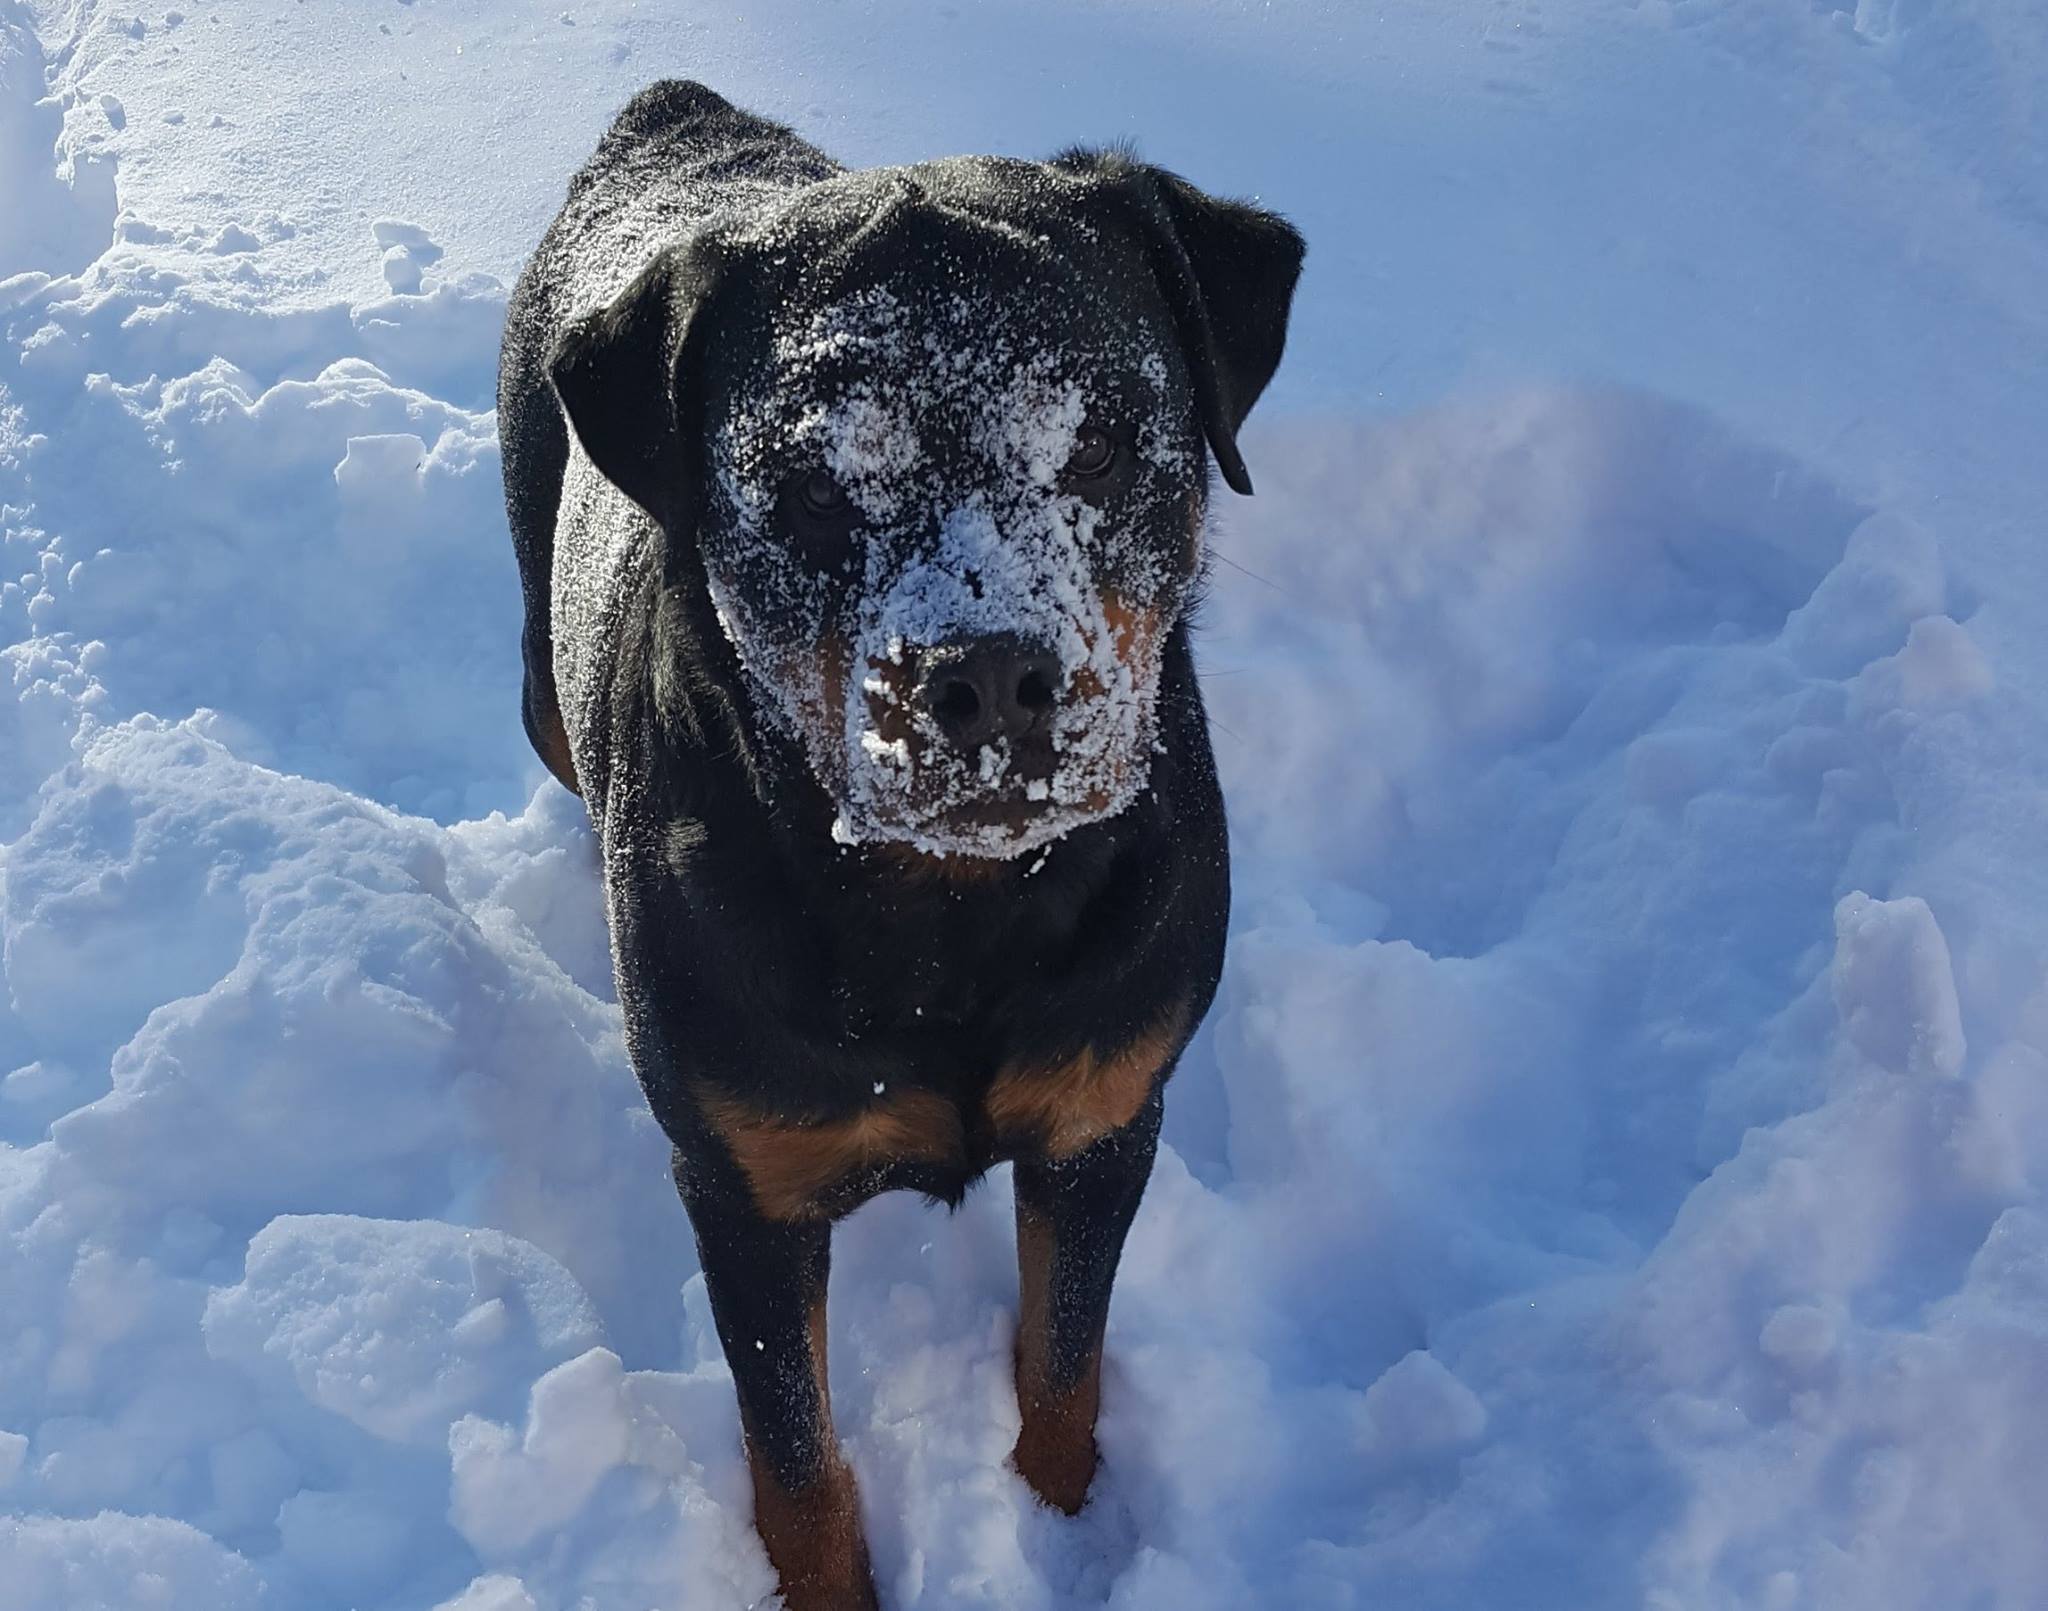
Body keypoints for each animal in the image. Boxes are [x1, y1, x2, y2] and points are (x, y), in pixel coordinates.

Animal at [495, 78, 1294, 1611]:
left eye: (1098, 441)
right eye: (810, 487)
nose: (987, 675)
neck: (946, 922)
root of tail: (672, 111)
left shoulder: (1107, 1108)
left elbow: (1063, 1361)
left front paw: (1057, 1526)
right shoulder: (741, 1184)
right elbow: (795, 1456)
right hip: (535, 664)